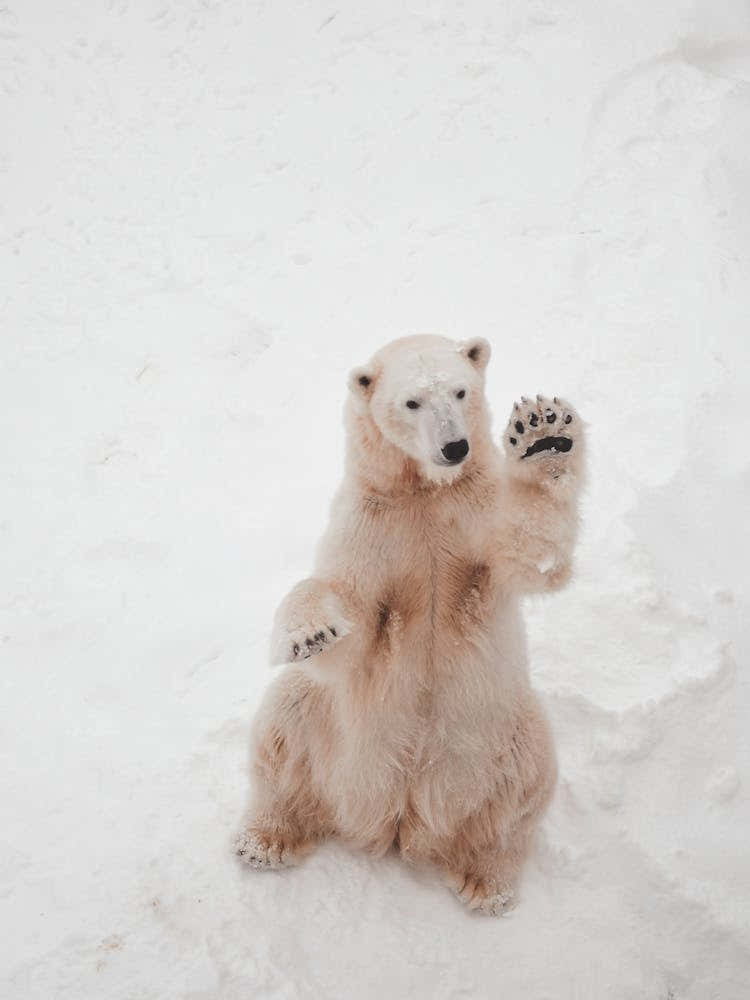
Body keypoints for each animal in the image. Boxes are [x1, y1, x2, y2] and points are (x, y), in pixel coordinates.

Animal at [236, 333, 585, 915]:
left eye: (461, 390)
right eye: (412, 402)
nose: (455, 447)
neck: (427, 491)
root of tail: (403, 817)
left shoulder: (475, 510)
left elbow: (530, 553)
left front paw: (544, 436)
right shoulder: (372, 519)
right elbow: (347, 611)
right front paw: (310, 633)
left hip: (500, 728)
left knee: (522, 785)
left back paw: (487, 881)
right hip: (335, 734)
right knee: (286, 720)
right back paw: (264, 839)